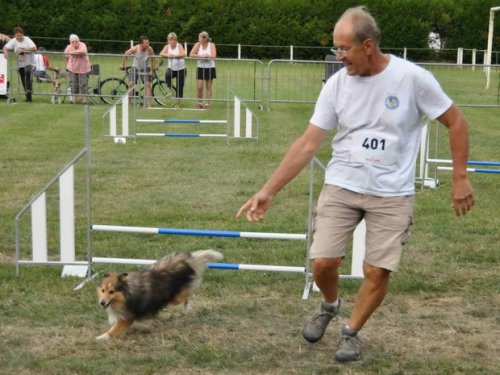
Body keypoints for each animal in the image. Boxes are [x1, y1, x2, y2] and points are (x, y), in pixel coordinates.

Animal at [95, 250, 223, 340]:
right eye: (103, 290)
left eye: (111, 291)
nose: (102, 303)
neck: (126, 294)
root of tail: (182, 260)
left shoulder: (127, 317)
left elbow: (114, 330)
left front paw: (101, 337)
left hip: (175, 298)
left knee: (186, 296)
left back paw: (186, 309)